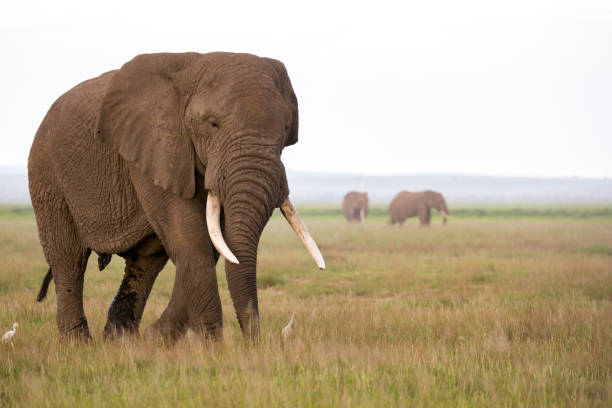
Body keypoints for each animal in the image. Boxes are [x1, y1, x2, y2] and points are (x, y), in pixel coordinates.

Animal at [28, 52, 326, 342]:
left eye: (285, 131)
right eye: (213, 124)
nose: (253, 343)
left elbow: (211, 244)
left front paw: (156, 339)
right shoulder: (154, 147)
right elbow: (193, 240)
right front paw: (211, 347)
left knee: (145, 262)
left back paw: (121, 342)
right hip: (46, 173)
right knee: (69, 258)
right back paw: (78, 344)